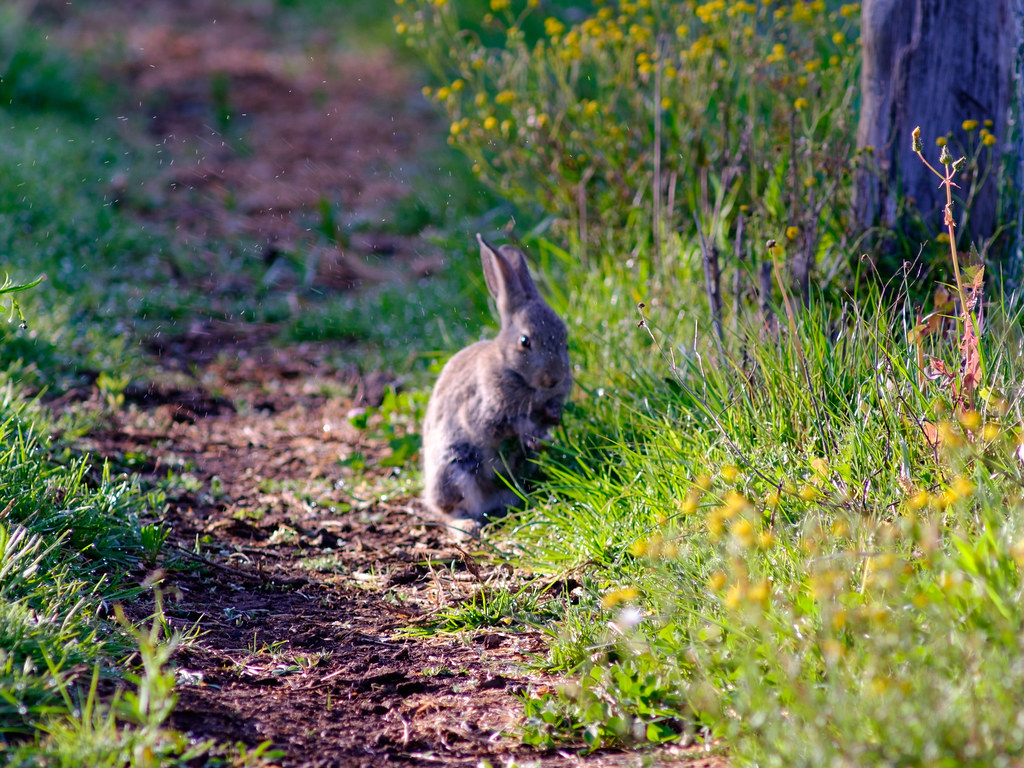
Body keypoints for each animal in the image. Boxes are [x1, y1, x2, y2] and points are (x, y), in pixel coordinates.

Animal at [419, 234, 573, 536]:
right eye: (525, 342)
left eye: (565, 340)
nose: (554, 379)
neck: (512, 369)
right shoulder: (484, 410)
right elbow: (508, 424)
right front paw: (534, 436)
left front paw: (551, 420)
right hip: (455, 466)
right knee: (449, 510)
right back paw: (468, 525)